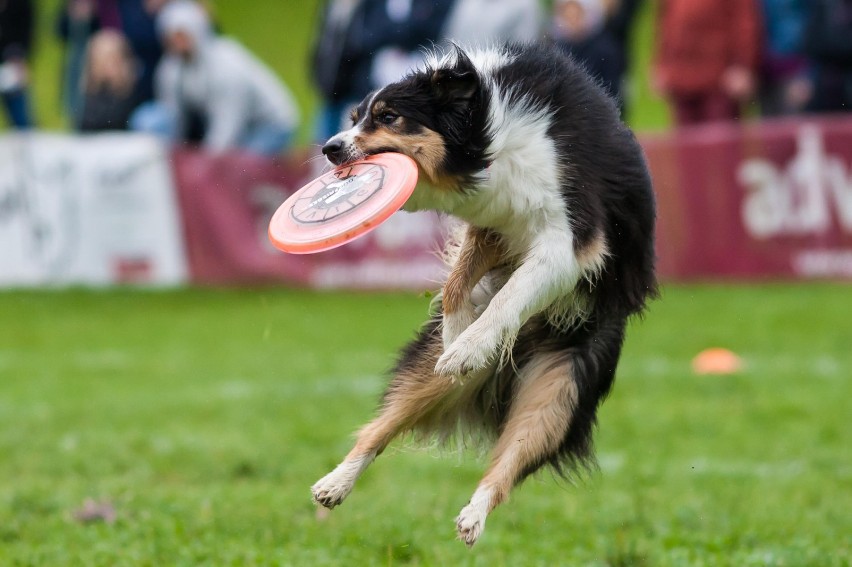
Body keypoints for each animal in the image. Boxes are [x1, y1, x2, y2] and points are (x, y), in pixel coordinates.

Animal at [310, 42, 656, 548]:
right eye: (355, 116)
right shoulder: (495, 222)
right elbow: (457, 285)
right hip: (432, 380)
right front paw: (456, 335)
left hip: (561, 386)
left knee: (509, 461)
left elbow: (510, 295)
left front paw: (469, 346)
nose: (330, 148)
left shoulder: (569, 239)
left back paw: (474, 515)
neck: (487, 127)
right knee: (381, 425)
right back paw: (335, 483)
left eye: (389, 116)